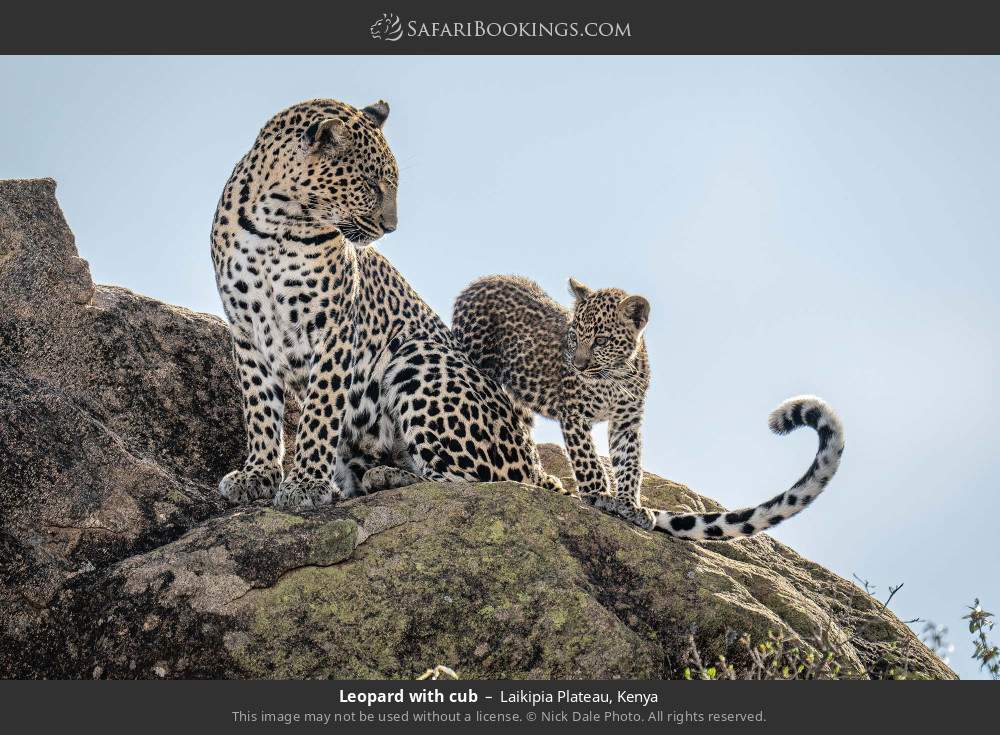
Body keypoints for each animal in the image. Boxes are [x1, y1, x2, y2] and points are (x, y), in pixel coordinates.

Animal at [212, 98, 564, 510]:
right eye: (369, 184)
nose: (390, 228)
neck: (276, 223)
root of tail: (536, 464)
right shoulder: (247, 331)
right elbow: (260, 408)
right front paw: (258, 475)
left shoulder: (333, 328)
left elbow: (319, 410)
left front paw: (306, 483)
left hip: (418, 356)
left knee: (471, 483)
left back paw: (386, 476)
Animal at [451, 274, 846, 540]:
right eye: (574, 336)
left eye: (601, 340)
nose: (577, 364)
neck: (616, 375)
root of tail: (479, 281)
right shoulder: (574, 415)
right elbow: (588, 460)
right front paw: (600, 495)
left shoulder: (627, 422)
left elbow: (630, 464)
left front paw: (629, 504)